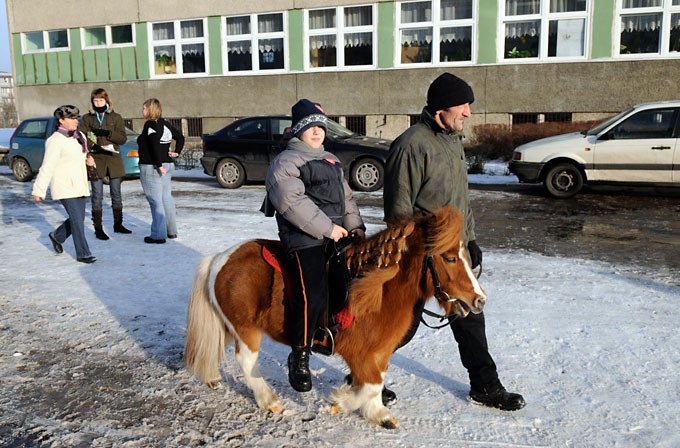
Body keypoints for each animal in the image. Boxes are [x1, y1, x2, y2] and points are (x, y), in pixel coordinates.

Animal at [183, 205, 486, 428]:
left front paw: (378, 414)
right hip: (247, 329)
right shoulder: (358, 352)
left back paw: (211, 376)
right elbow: (371, 384)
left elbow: (376, 382)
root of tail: (220, 258)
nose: (480, 300)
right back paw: (270, 401)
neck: (377, 289)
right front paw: (340, 403)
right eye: (449, 258)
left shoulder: (378, 352)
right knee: (246, 362)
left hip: (230, 324)